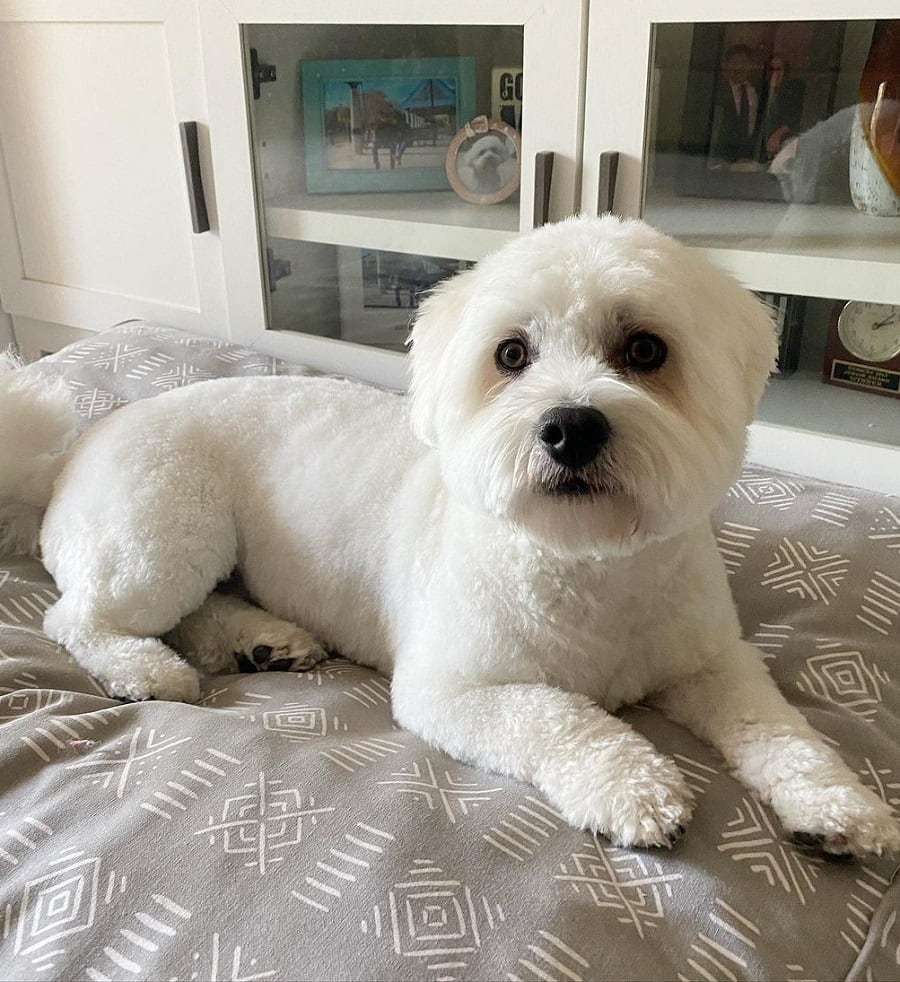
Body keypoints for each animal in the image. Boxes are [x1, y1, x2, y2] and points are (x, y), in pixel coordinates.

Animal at [3, 213, 896, 852]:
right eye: (511, 354)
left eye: (646, 349)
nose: (571, 427)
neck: (588, 562)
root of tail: (70, 452)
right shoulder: (451, 690)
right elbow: (560, 718)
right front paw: (630, 787)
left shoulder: (712, 661)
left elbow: (777, 725)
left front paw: (836, 802)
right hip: (165, 533)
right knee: (79, 616)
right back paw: (145, 669)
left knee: (196, 610)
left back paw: (261, 641)